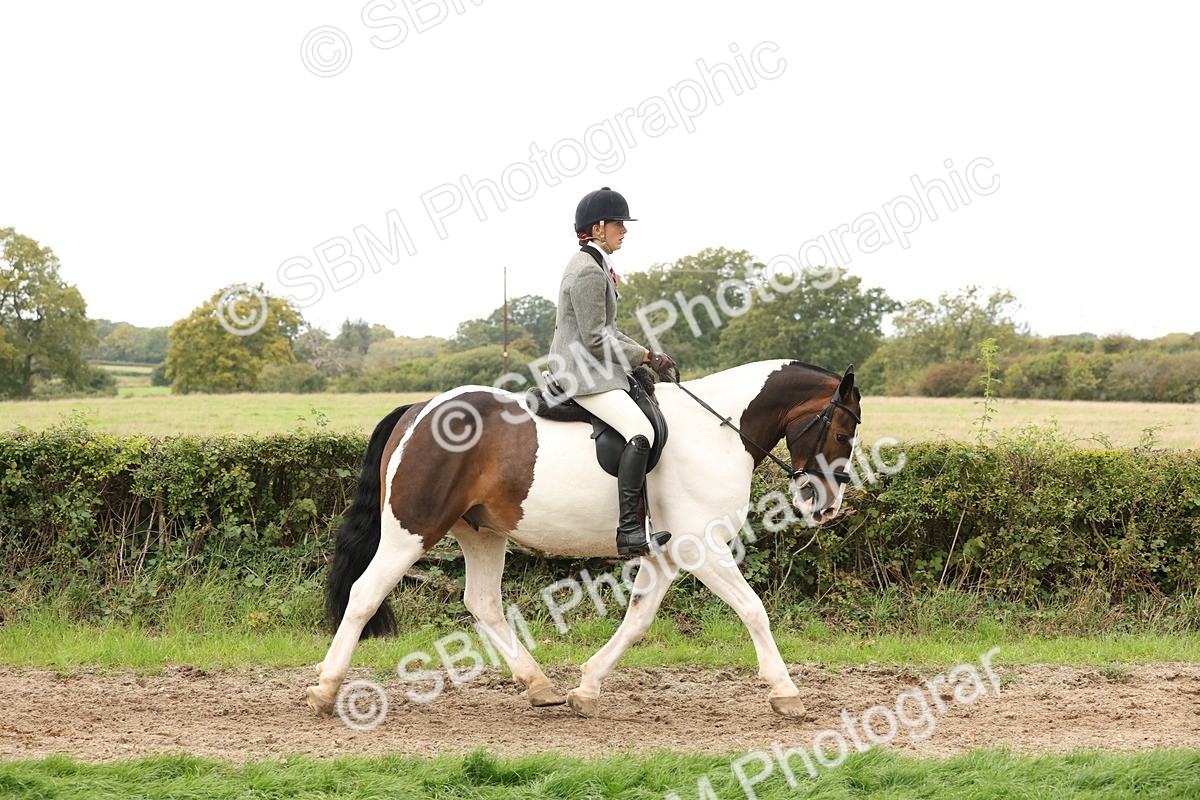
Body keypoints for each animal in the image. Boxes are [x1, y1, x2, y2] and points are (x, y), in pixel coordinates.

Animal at [305, 359, 861, 719]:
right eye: (841, 433)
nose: (827, 506)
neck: (718, 431)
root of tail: (418, 410)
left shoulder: (666, 555)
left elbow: (637, 620)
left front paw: (588, 687)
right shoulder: (701, 548)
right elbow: (753, 610)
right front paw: (786, 693)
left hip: (481, 532)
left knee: (482, 602)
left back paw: (541, 687)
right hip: (413, 528)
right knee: (364, 594)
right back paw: (325, 691)